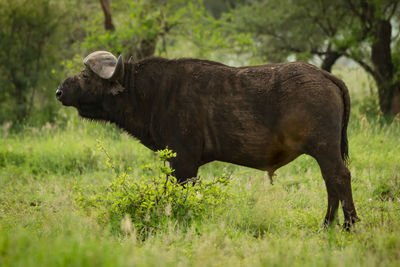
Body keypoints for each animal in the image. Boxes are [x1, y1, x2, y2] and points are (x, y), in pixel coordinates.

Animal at [56, 50, 360, 228]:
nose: (59, 91)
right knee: (331, 181)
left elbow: (184, 193)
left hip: (325, 149)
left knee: (339, 177)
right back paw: (327, 224)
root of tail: (326, 76)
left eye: (85, 75)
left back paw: (348, 223)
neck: (151, 93)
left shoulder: (184, 162)